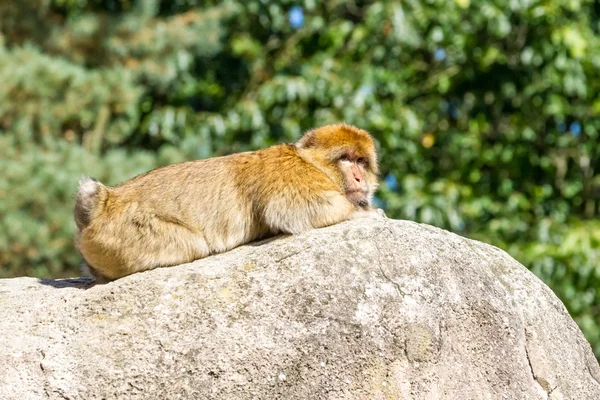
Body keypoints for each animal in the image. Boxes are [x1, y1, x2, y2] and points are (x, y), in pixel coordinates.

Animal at [72, 122, 378, 282]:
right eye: (346, 158)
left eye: (362, 161)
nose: (359, 177)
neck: (311, 163)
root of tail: (106, 200)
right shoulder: (294, 174)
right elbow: (293, 210)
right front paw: (366, 213)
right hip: (124, 234)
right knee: (193, 245)